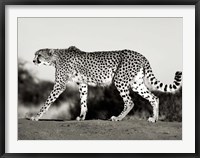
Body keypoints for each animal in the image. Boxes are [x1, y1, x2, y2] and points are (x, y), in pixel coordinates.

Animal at [30, 45, 181, 122]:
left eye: (39, 55)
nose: (33, 60)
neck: (56, 57)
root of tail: (140, 54)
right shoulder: (82, 83)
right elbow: (83, 101)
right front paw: (81, 117)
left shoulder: (60, 84)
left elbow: (47, 102)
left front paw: (36, 116)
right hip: (137, 84)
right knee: (154, 97)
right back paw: (154, 119)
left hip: (120, 79)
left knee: (130, 101)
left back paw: (118, 118)